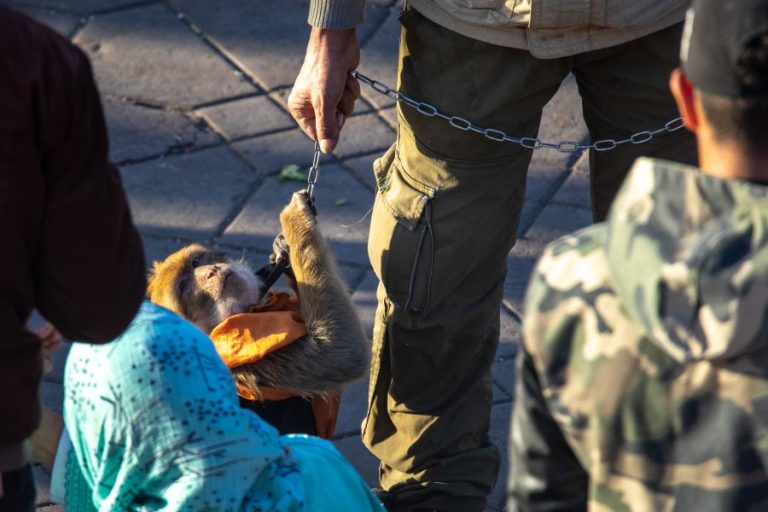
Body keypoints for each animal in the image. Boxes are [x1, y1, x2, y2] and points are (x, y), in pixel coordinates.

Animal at [148, 190, 372, 438]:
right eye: (185, 285)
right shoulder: (251, 347)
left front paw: (284, 249)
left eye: (196, 261)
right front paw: (294, 218)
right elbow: (341, 352)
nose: (210, 271)